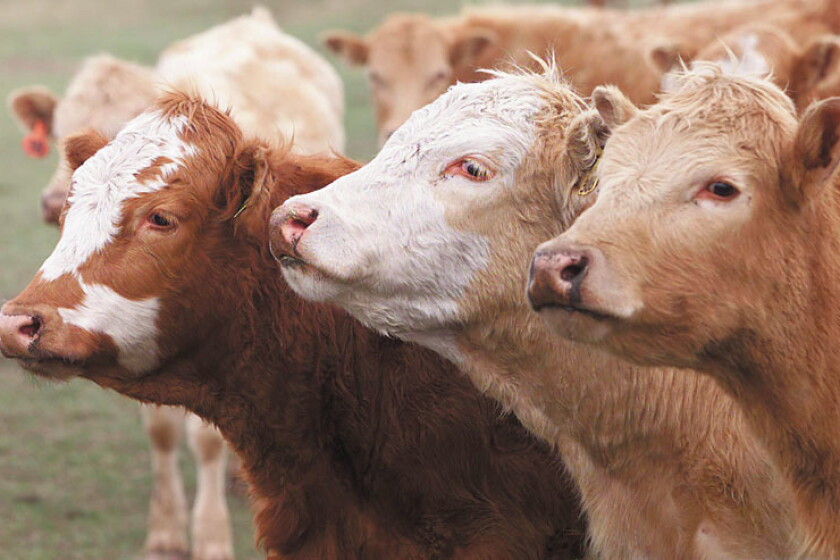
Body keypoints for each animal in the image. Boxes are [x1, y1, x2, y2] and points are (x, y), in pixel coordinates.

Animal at [5, 9, 345, 560]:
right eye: (59, 131)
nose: (53, 201)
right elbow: (162, 430)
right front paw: (166, 531)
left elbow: (206, 440)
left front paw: (210, 535)